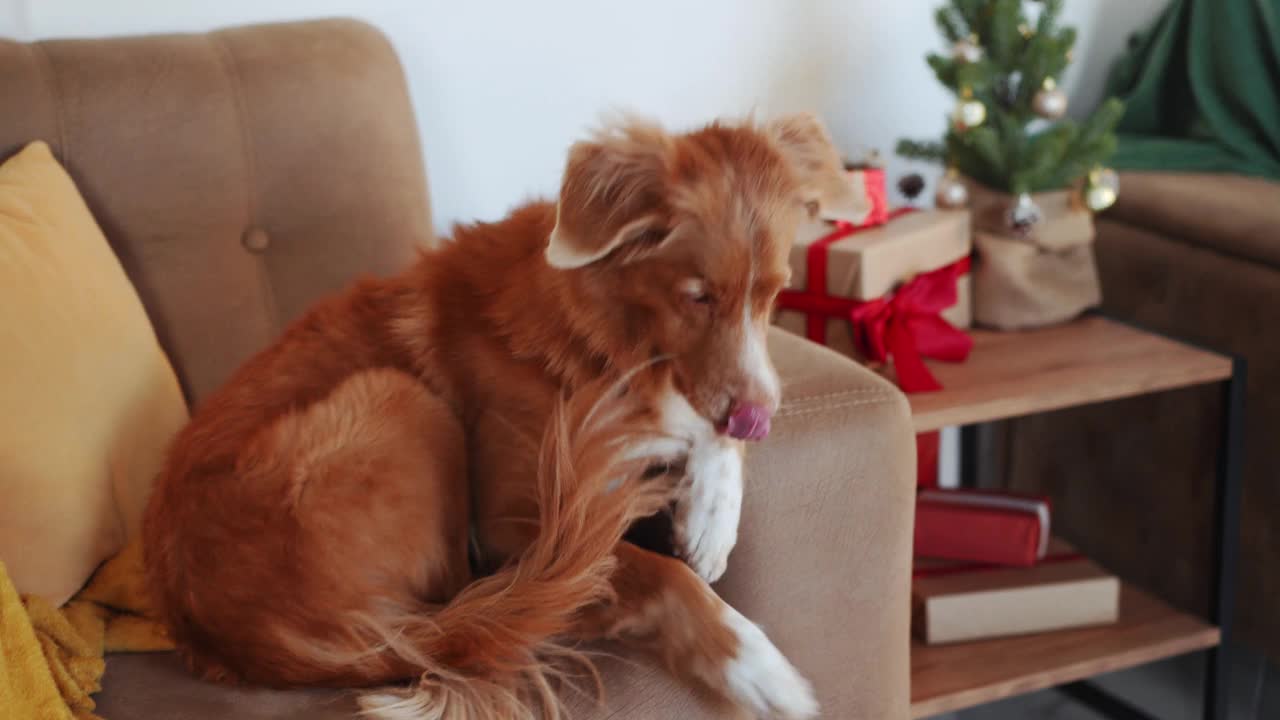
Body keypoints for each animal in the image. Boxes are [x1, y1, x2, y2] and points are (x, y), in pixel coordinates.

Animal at [140, 113, 860, 717]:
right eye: (698, 296)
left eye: (774, 294)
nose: (760, 420)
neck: (602, 337)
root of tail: (237, 637)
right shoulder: (513, 520)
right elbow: (654, 567)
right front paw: (753, 664)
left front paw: (711, 516)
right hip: (401, 399)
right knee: (502, 613)